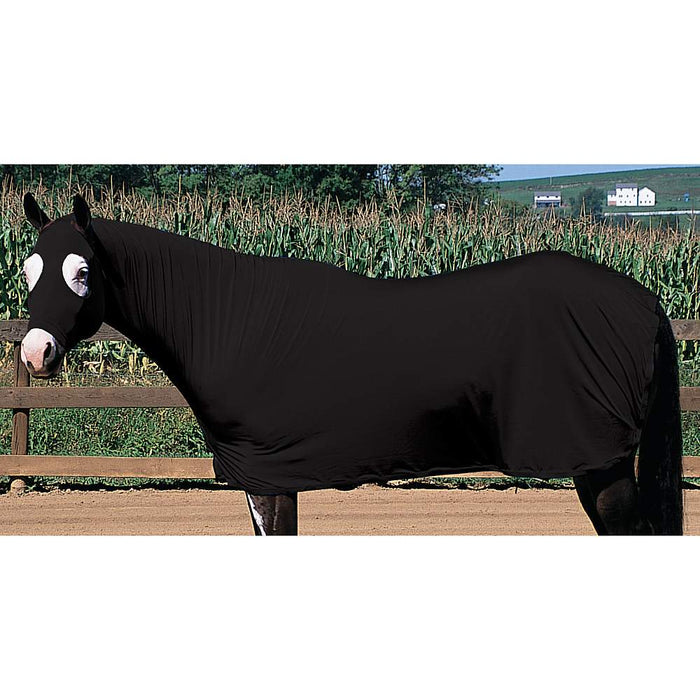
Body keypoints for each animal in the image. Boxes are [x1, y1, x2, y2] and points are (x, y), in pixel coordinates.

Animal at [18, 193, 683, 535]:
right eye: (26, 269)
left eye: (82, 272)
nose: (34, 353)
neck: (229, 321)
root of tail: (644, 299)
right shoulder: (261, 481)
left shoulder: (272, 477)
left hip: (603, 467)